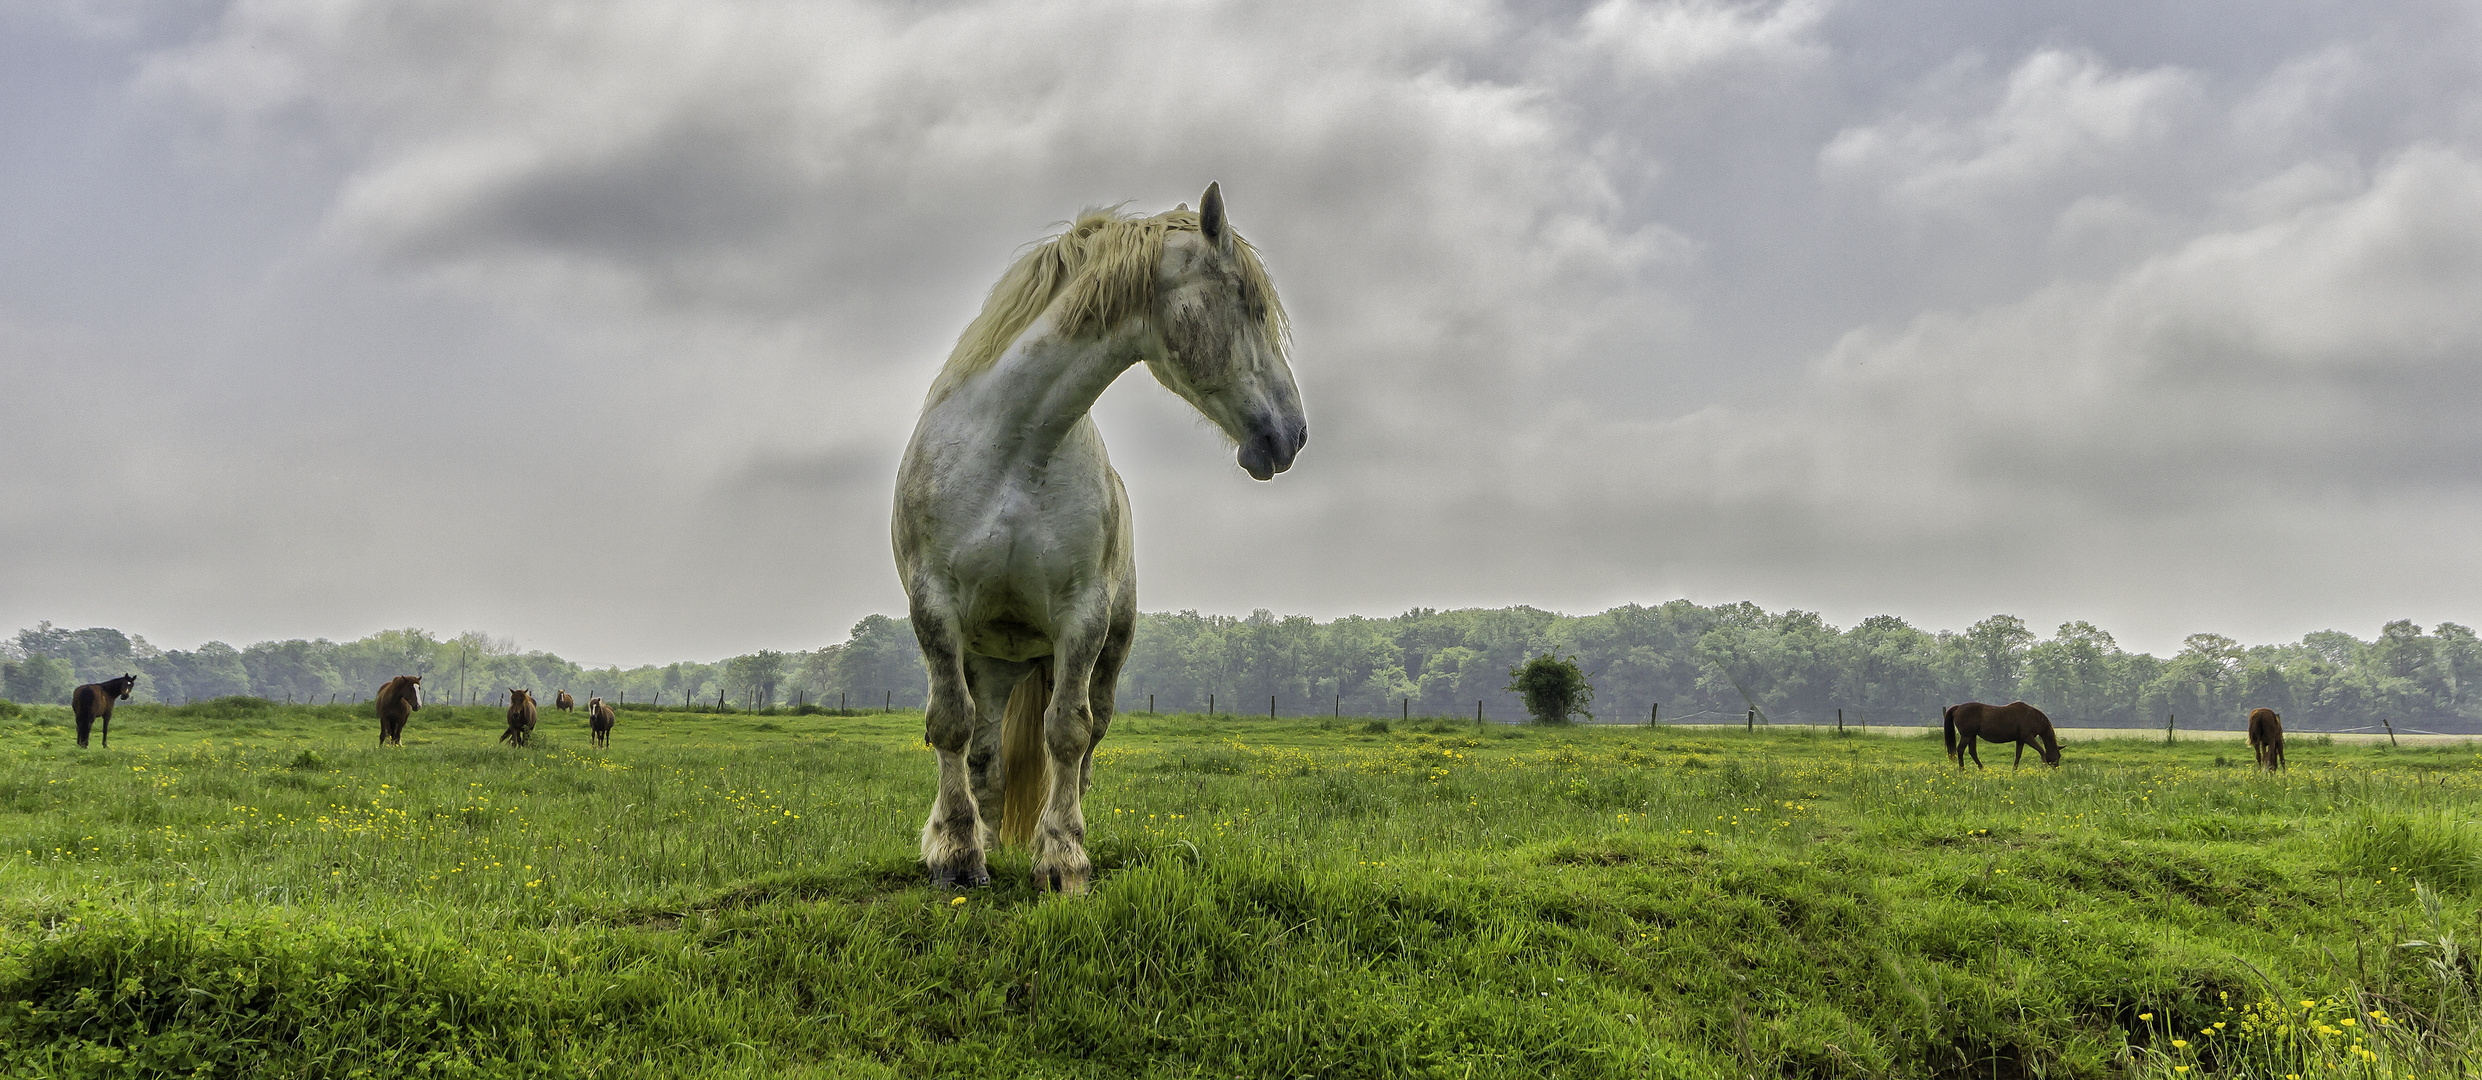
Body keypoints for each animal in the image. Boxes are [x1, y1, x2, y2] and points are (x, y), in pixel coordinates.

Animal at [898, 183, 1320, 898]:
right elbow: (950, 725)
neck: (1013, 450)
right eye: (1251, 304)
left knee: (1084, 743)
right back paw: (985, 840)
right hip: (990, 657)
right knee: (982, 748)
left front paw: (1063, 860)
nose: (1292, 434)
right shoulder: (935, 607)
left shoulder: (1084, 615)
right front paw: (954, 853)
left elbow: (1067, 735)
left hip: (1103, 655)